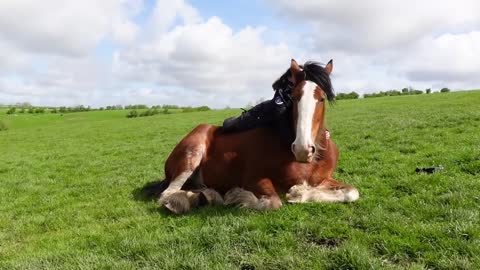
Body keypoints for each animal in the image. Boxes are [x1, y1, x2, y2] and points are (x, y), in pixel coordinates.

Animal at [158, 59, 360, 213]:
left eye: (322, 98)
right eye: (294, 97)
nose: (303, 149)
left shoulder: (323, 180)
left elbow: (352, 192)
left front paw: (299, 192)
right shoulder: (253, 178)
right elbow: (273, 202)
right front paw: (238, 196)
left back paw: (207, 196)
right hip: (191, 155)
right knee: (166, 195)